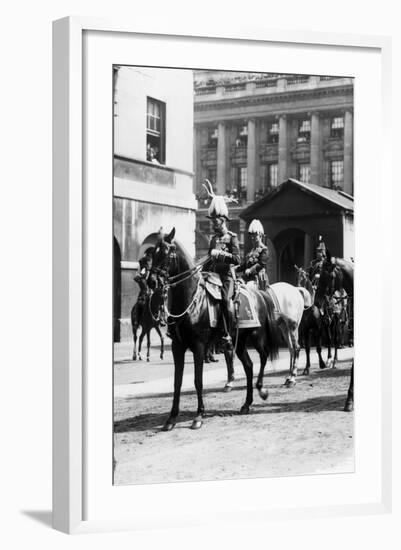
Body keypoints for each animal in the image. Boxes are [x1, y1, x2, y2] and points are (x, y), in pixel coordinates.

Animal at [151, 229, 282, 432]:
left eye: (166, 253)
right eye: (152, 253)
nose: (151, 281)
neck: (191, 301)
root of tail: (259, 294)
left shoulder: (198, 346)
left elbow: (198, 380)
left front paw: (198, 416)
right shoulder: (177, 347)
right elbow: (177, 381)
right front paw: (171, 418)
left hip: (256, 336)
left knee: (264, 356)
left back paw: (262, 390)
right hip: (239, 341)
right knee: (249, 366)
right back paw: (246, 404)